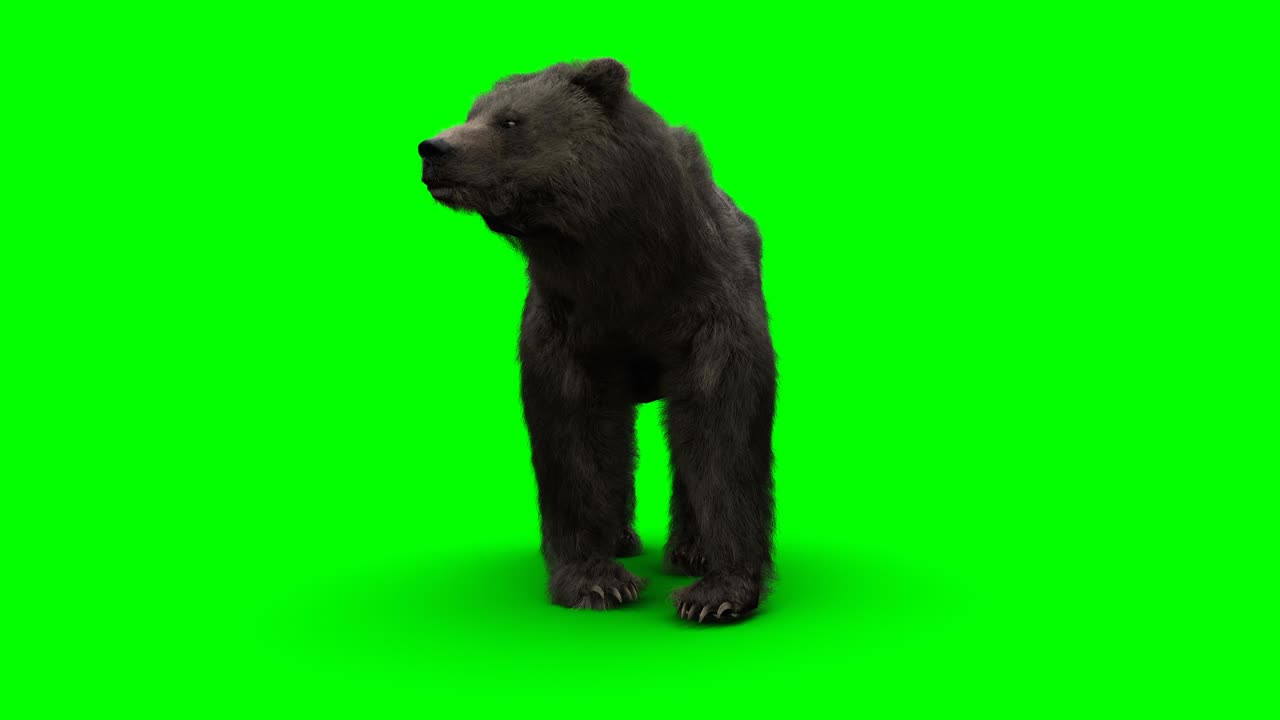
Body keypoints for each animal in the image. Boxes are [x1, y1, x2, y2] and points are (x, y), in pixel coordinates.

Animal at [419, 58, 776, 623]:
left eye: (510, 120)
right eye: (472, 112)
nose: (433, 149)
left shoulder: (710, 302)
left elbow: (722, 423)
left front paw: (716, 594)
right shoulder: (569, 322)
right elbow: (575, 431)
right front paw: (596, 581)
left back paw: (688, 550)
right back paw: (623, 541)